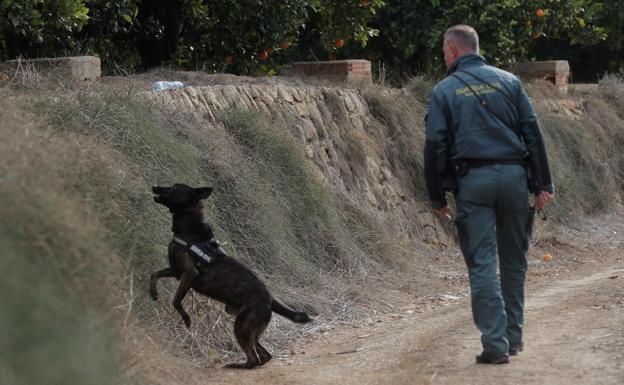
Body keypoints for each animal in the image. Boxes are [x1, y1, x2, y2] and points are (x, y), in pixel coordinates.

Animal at [147, 184, 312, 368]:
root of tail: (269, 299)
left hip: (242, 325)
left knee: (254, 358)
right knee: (264, 355)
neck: (189, 228)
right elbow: (155, 274)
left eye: (175, 187)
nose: (155, 186)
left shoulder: (189, 274)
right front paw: (153, 293)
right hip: (247, 327)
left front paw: (187, 319)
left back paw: (236, 365)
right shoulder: (176, 271)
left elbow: (176, 300)